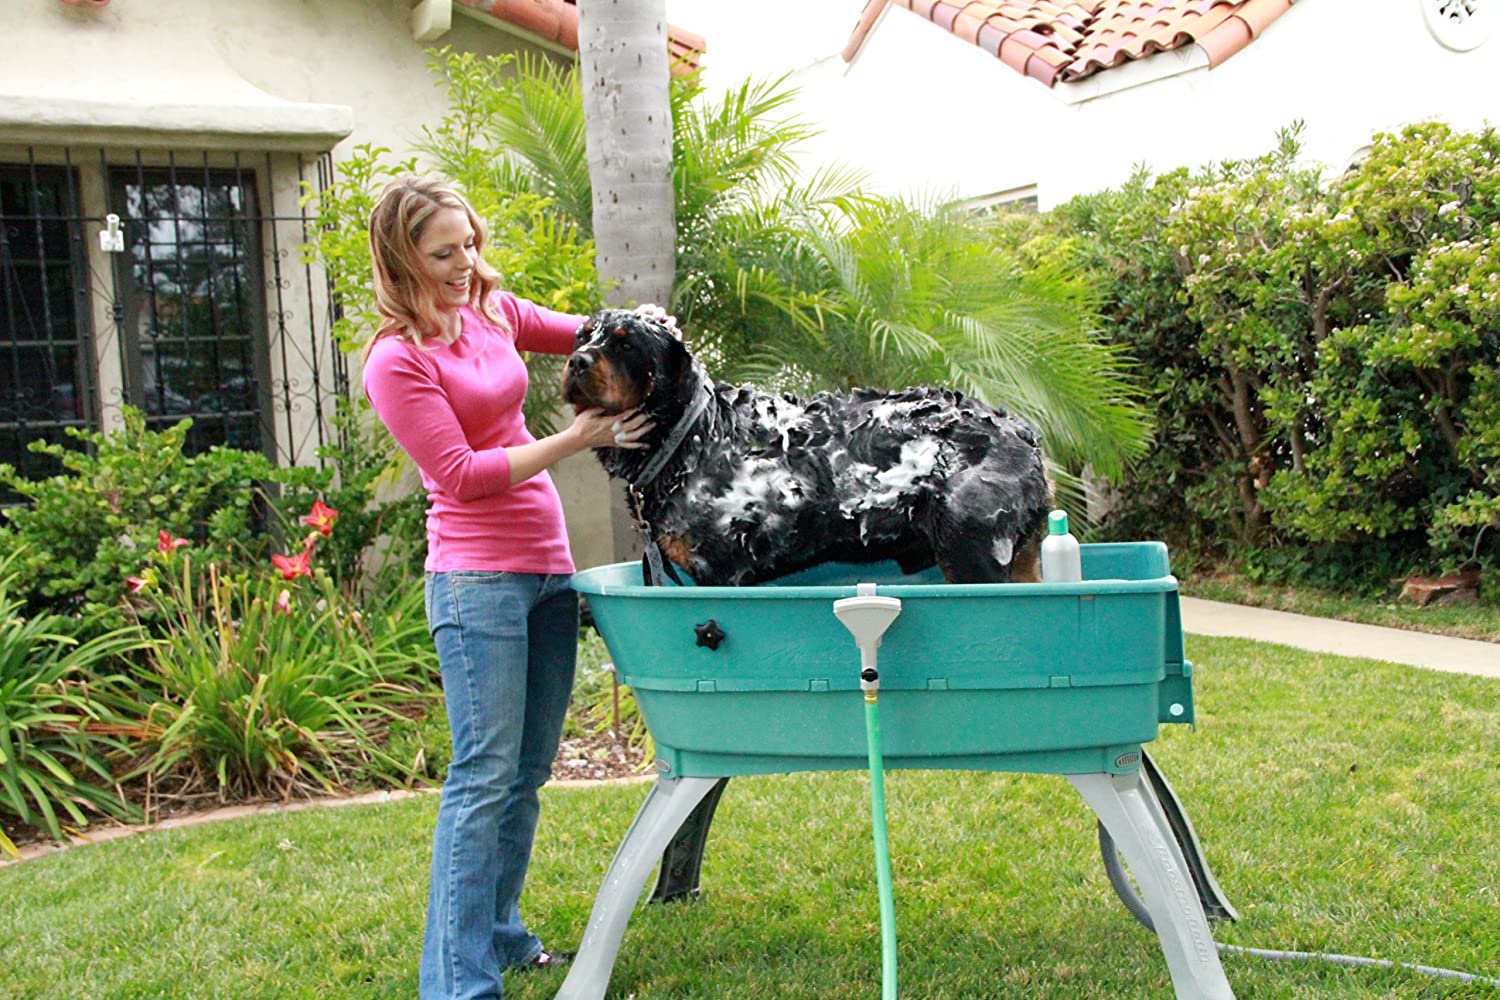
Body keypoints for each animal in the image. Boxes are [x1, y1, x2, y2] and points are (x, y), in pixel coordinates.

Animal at [564, 308, 1056, 581]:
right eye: (583, 335)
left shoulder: (719, 570)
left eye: (627, 345)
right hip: (1022, 555)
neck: (689, 437)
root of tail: (1022, 432)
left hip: (970, 549)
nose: (577, 361)